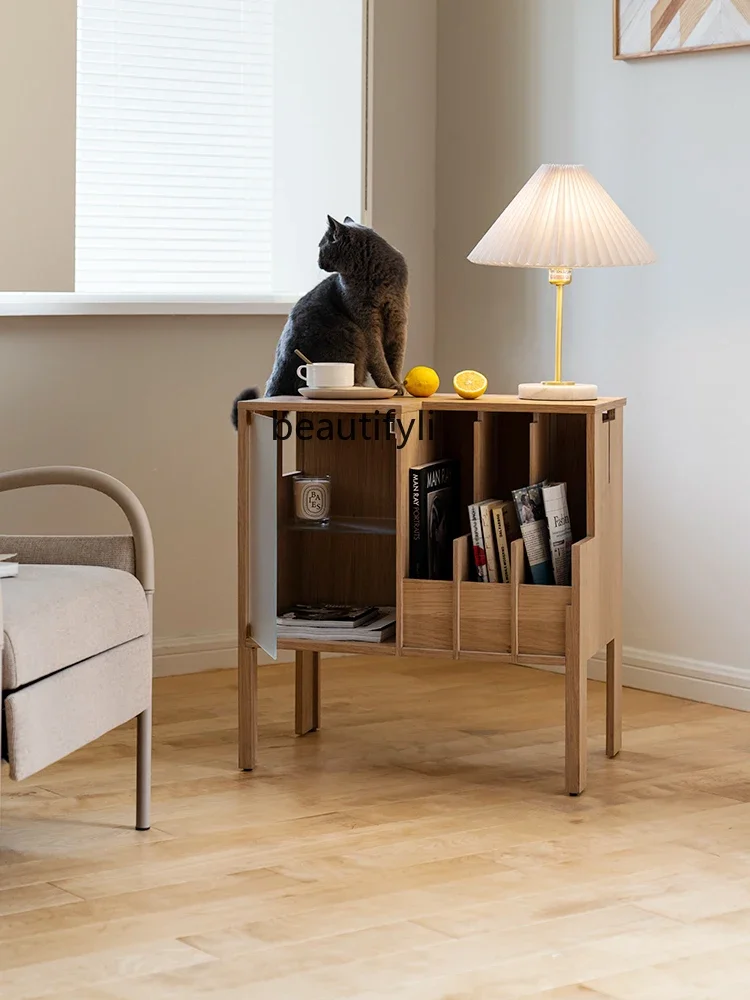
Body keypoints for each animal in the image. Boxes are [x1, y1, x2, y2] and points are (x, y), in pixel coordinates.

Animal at [232, 216, 408, 426]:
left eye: (320, 247)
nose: (317, 261)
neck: (372, 275)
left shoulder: (398, 316)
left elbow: (396, 358)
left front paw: (397, 384)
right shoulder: (367, 323)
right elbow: (379, 359)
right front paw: (390, 385)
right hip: (352, 335)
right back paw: (358, 386)